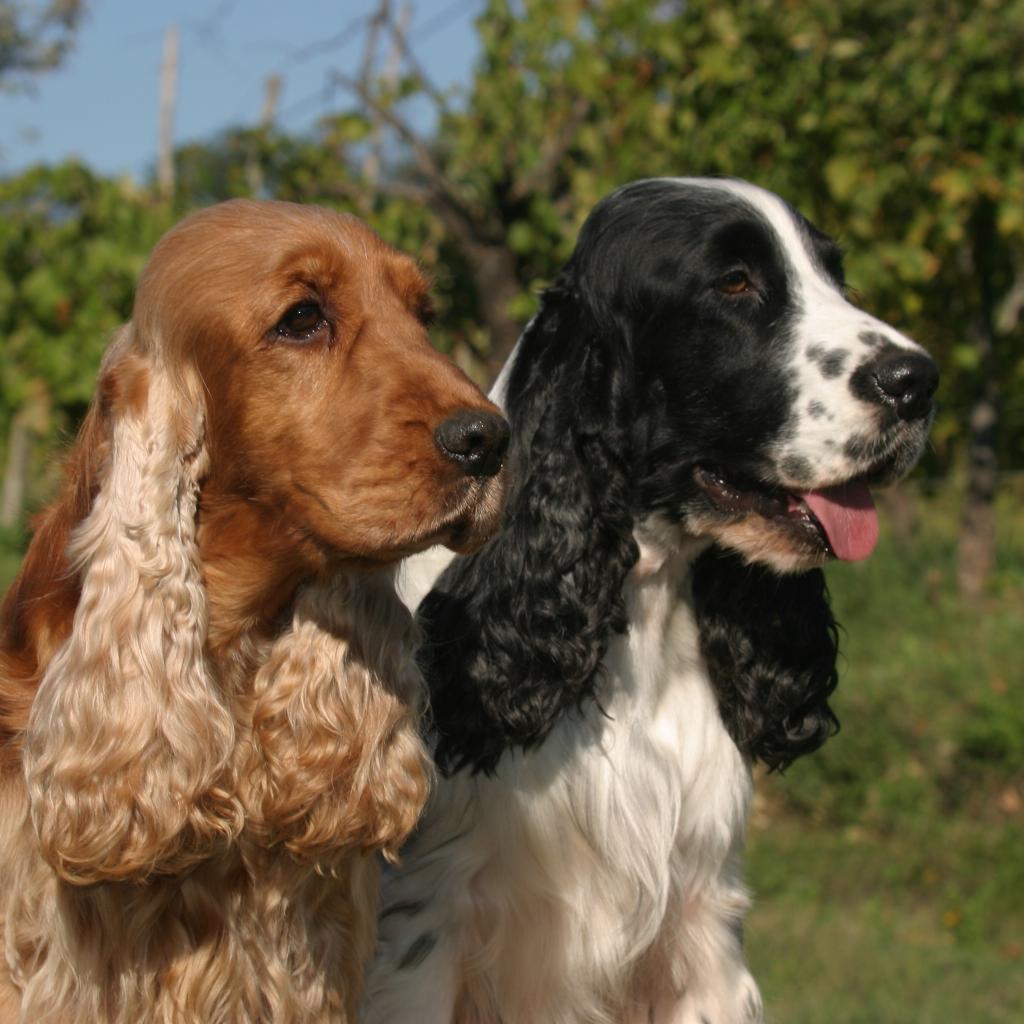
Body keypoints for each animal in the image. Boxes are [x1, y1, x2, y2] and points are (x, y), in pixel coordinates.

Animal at [365, 178, 937, 1023]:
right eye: (734, 282)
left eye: (836, 276)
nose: (918, 381)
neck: (638, 623)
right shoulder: (423, 923)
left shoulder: (702, 928)